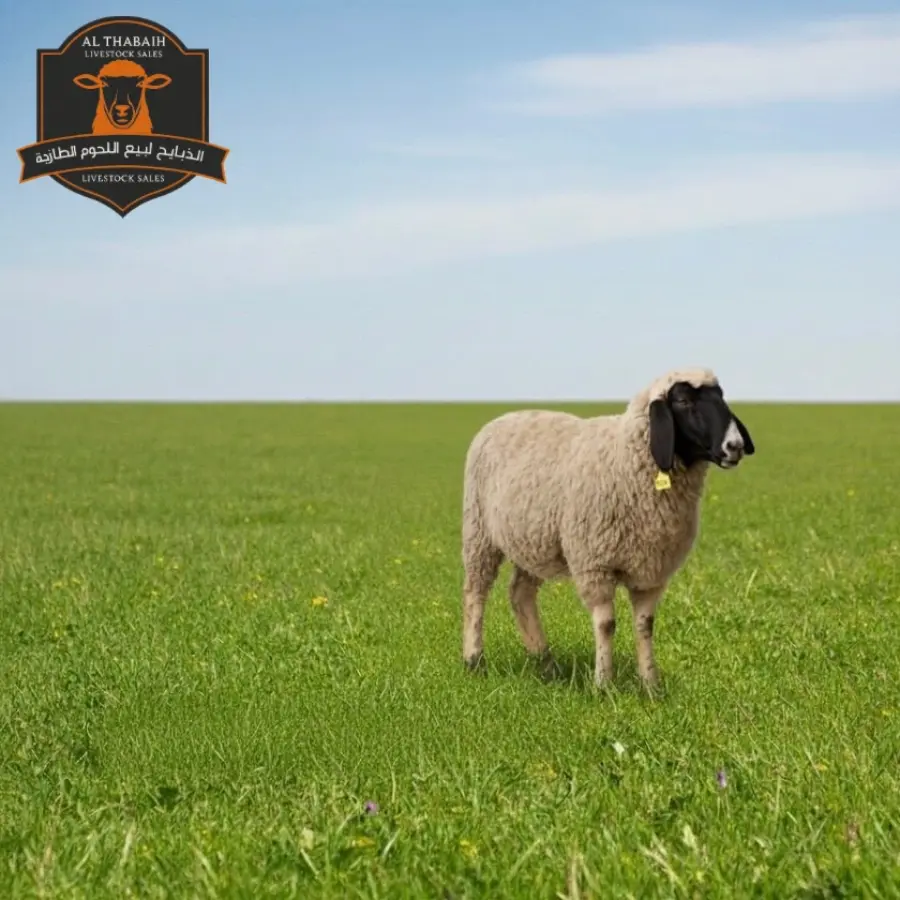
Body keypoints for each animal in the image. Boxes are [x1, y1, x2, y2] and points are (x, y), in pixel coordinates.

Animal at [460, 366, 755, 691]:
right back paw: (474, 659)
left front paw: (651, 685)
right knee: (476, 592)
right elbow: (606, 624)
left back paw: (545, 662)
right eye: (683, 400)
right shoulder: (595, 563)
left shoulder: (650, 570)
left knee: (520, 594)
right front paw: (603, 684)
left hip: (533, 540)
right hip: (479, 531)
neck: (630, 459)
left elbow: (645, 625)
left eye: (720, 397)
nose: (735, 446)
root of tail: (502, 418)